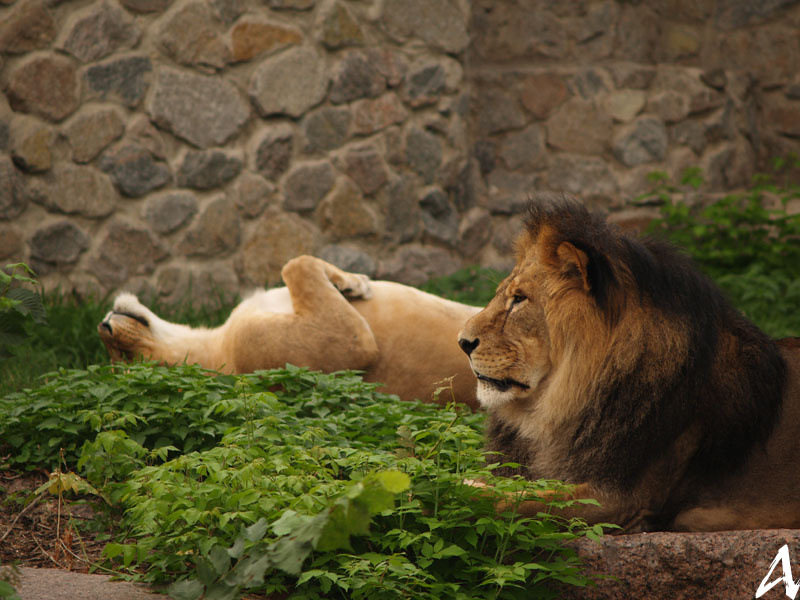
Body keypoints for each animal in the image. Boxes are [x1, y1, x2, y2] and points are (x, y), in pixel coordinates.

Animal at [98, 255, 481, 408]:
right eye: (128, 360)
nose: (105, 329)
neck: (215, 342)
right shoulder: (348, 343)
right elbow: (295, 264)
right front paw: (356, 283)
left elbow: (295, 264)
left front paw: (350, 281)